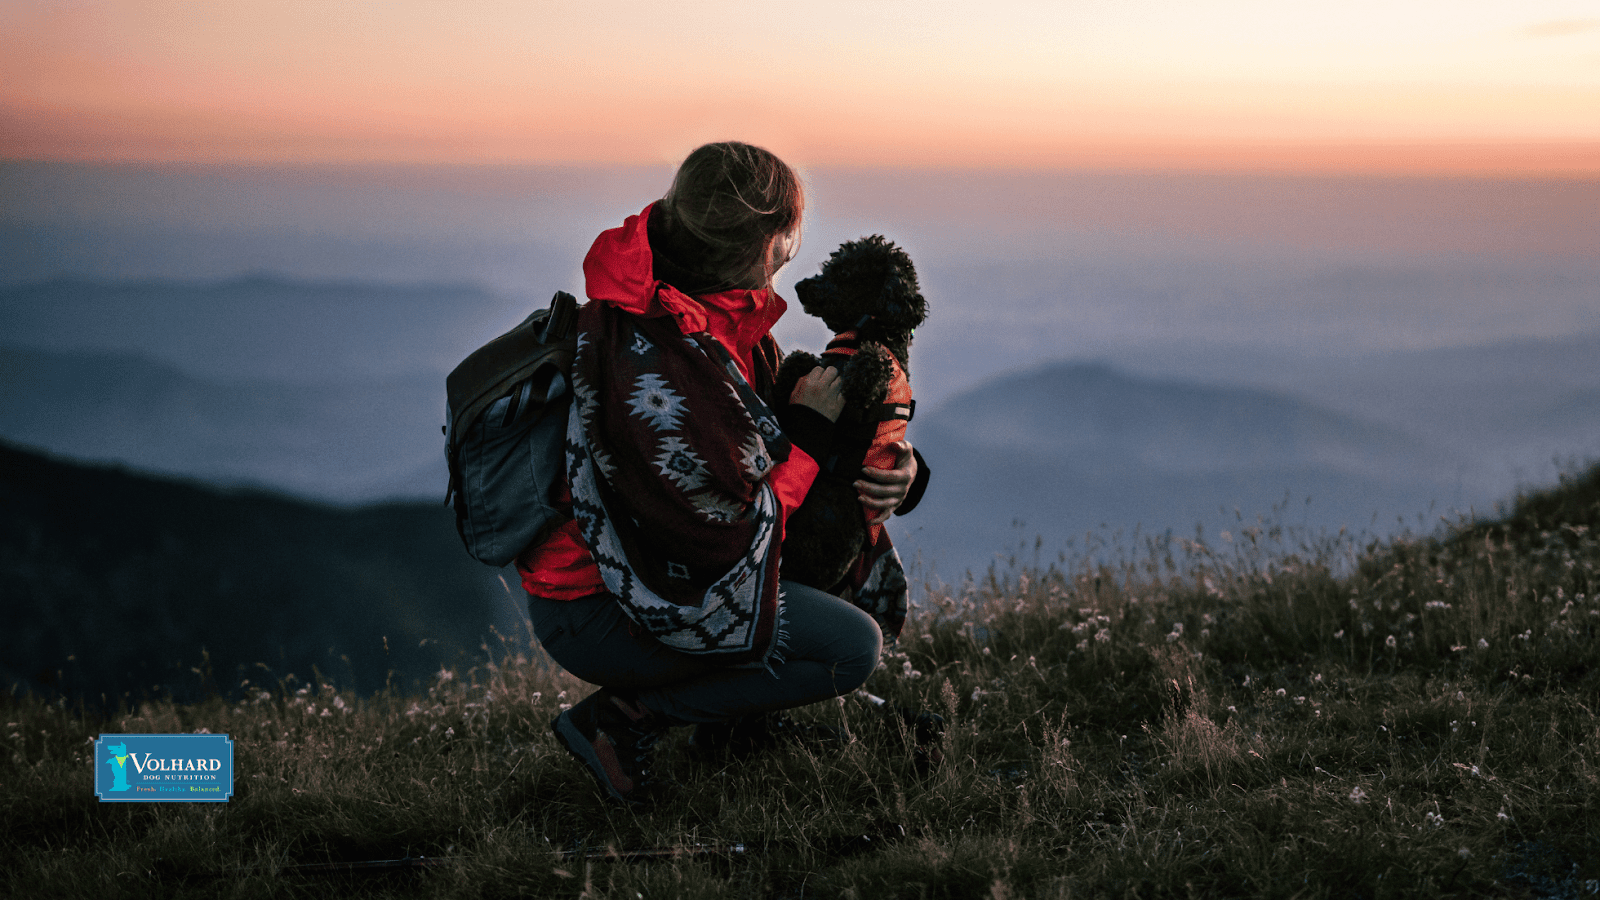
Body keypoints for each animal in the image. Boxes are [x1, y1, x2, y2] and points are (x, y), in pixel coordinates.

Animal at [777, 235, 934, 592]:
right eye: (831, 265)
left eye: (846, 274)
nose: (800, 287)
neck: (867, 330)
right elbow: (800, 359)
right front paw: (788, 373)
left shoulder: (871, 394)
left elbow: (873, 362)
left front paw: (862, 375)